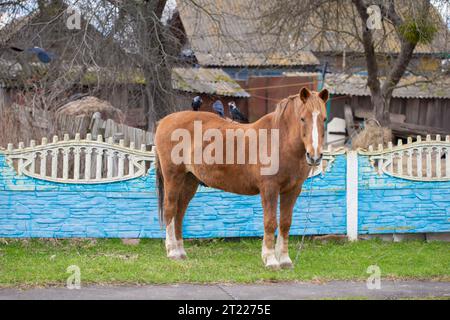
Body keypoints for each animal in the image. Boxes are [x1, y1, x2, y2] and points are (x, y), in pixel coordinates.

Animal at [154, 87, 326, 270]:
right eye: (302, 118)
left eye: (324, 119)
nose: (314, 156)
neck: (279, 141)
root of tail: (164, 121)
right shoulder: (269, 189)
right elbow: (270, 222)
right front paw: (271, 260)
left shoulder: (292, 190)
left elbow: (285, 223)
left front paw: (285, 260)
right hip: (173, 177)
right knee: (170, 210)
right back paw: (172, 251)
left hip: (189, 181)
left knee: (179, 212)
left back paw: (180, 252)